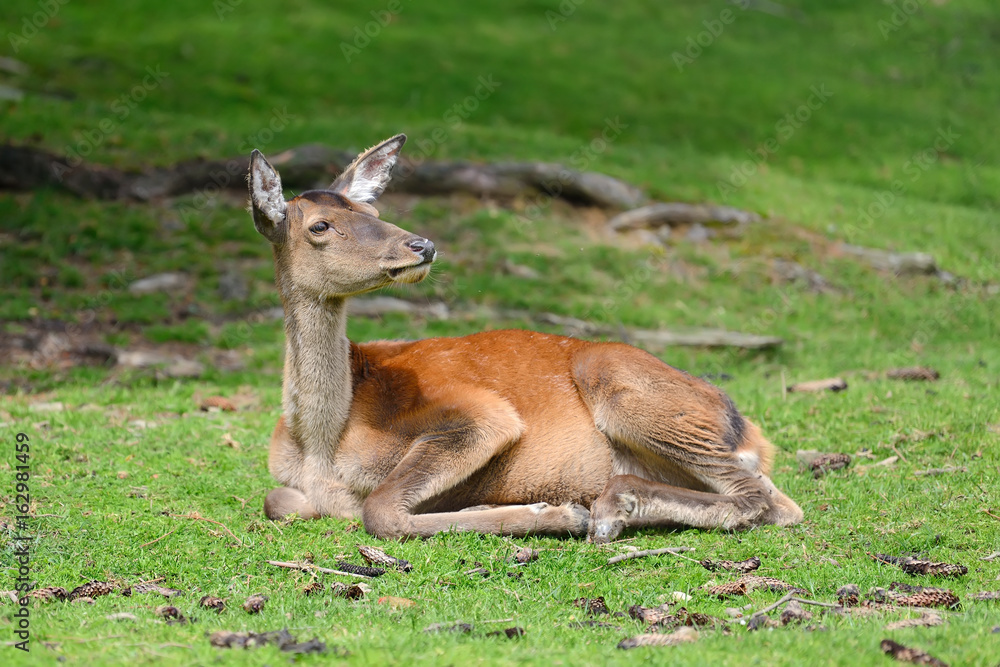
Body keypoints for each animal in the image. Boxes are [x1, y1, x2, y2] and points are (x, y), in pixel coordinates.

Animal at [250, 134, 804, 544]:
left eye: (373, 214)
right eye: (321, 225)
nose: (422, 244)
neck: (320, 446)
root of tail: (749, 431)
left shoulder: (480, 414)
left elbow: (380, 509)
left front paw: (554, 514)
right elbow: (276, 499)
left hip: (633, 390)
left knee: (768, 499)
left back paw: (606, 509)